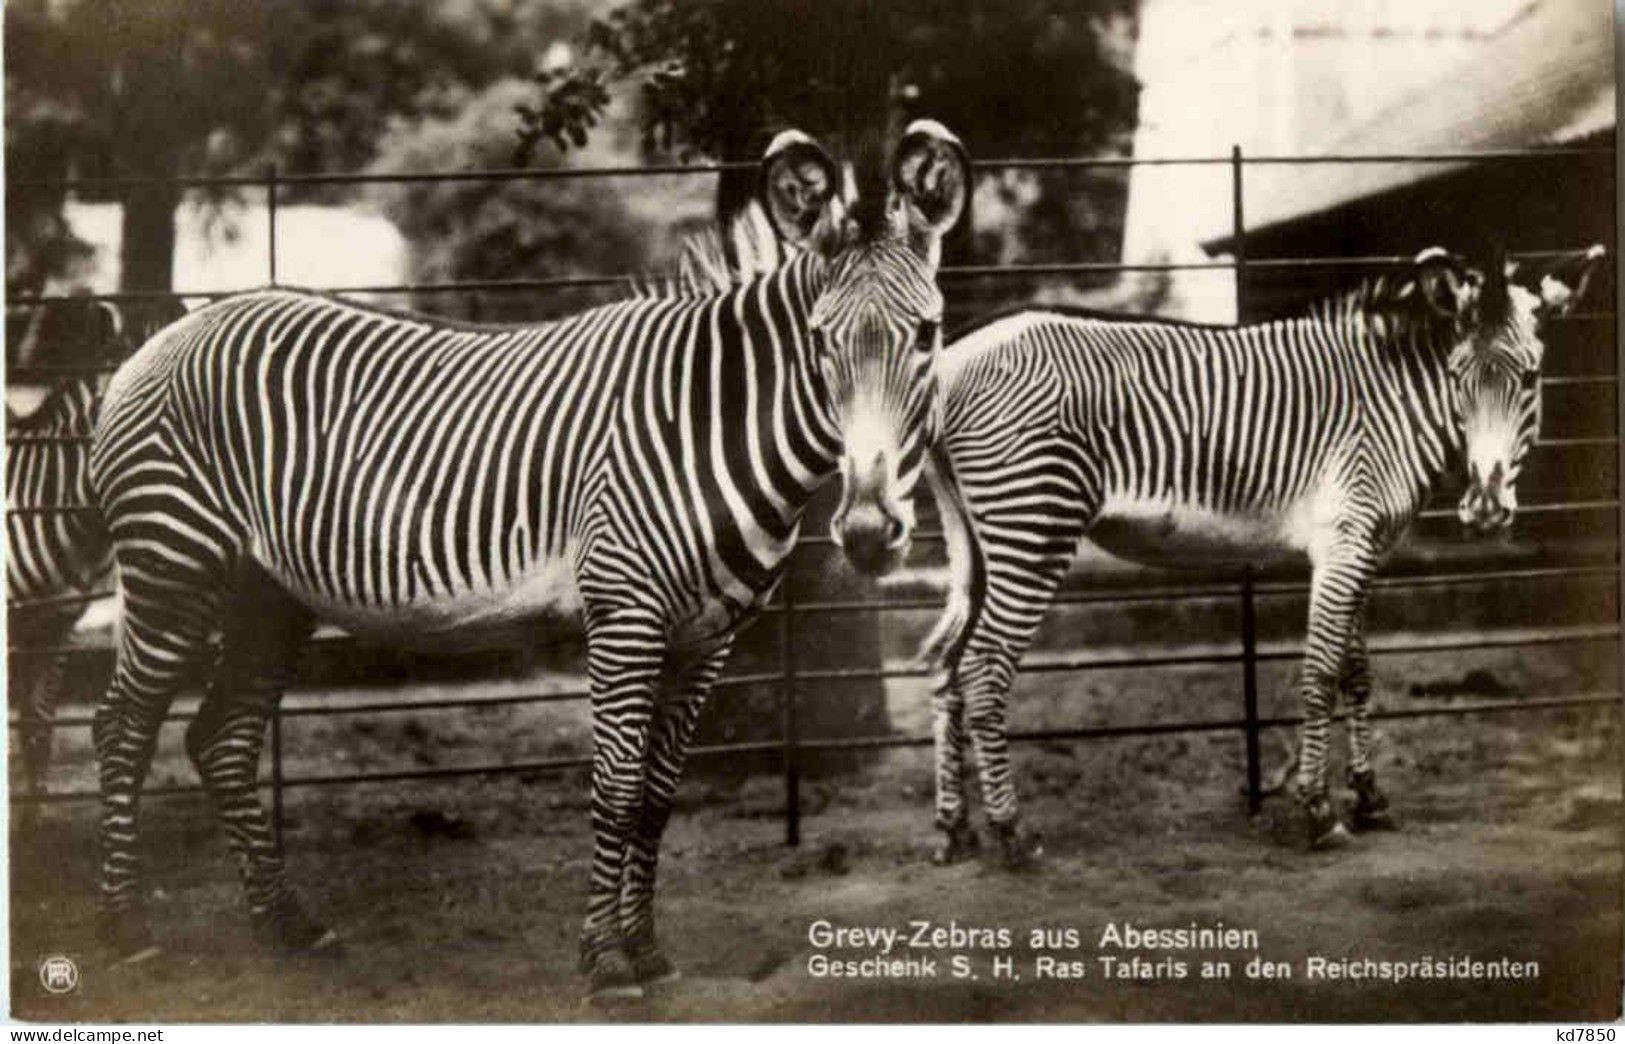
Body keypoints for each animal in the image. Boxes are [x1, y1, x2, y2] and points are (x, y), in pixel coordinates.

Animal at [923, 243, 1605, 858]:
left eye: (1529, 378)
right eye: (1460, 379)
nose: (1485, 507)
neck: (1389, 403)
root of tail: (949, 362)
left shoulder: (1365, 545)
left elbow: (1357, 672)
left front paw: (1369, 798)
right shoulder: (1343, 542)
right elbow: (1321, 672)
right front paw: (1319, 810)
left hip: (984, 542)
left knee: (952, 666)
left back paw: (955, 830)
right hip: (1034, 524)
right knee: (983, 667)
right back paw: (1012, 832)